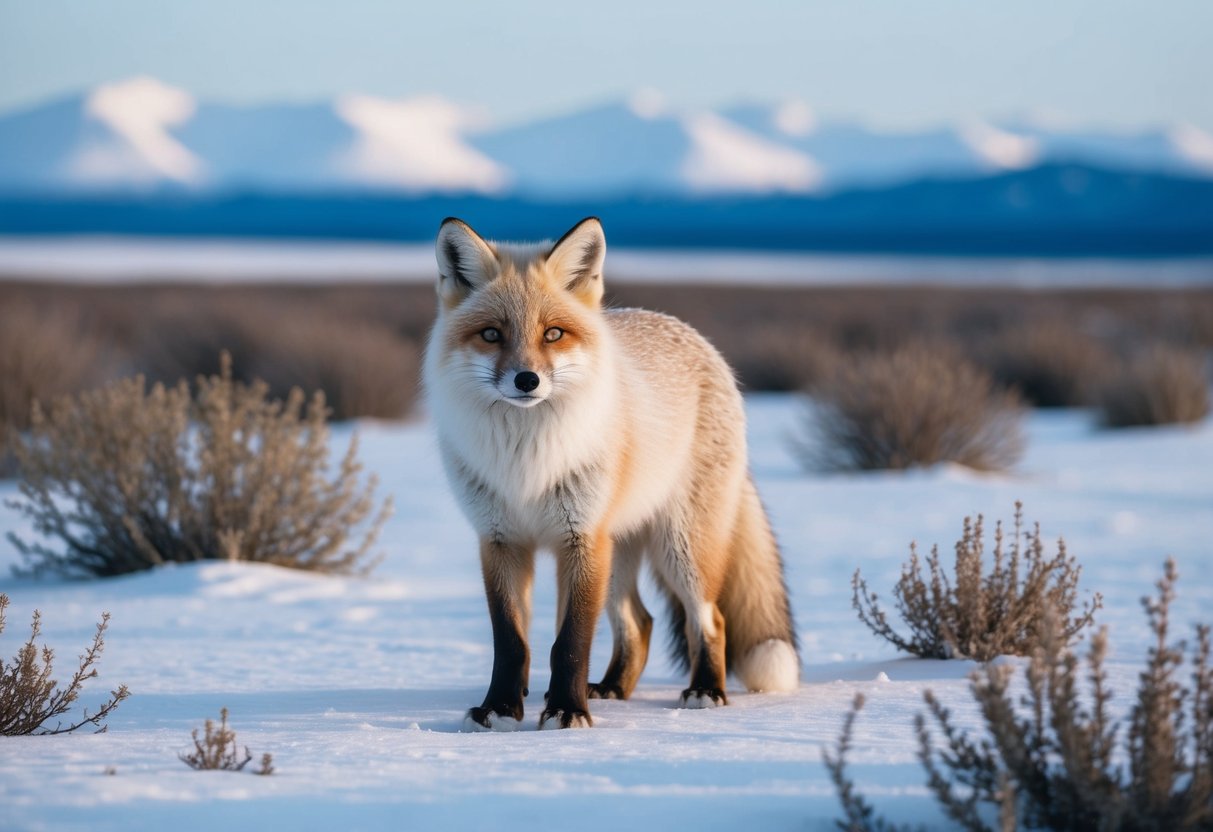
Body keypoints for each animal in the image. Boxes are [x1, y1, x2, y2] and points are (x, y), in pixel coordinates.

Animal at [423, 216, 799, 730]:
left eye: (553, 334)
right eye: (492, 335)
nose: (527, 380)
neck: (527, 460)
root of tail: (691, 335)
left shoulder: (581, 538)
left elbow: (570, 641)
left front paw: (566, 710)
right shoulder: (501, 539)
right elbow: (512, 642)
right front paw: (500, 709)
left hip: (679, 546)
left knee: (710, 618)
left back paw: (705, 689)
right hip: (618, 551)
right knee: (640, 622)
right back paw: (612, 688)